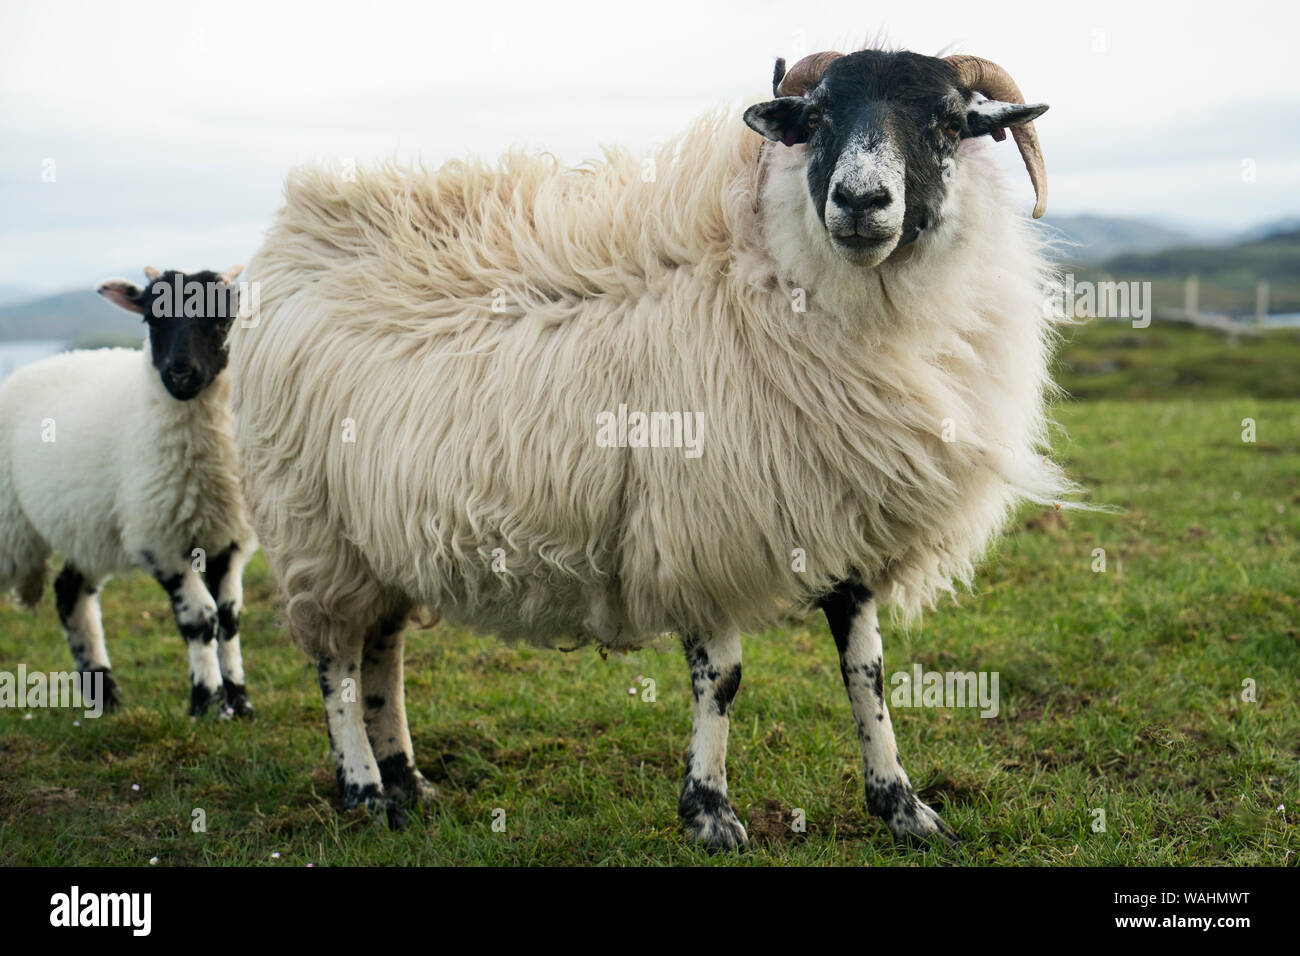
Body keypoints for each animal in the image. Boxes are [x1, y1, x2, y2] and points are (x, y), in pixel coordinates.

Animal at [0, 265, 258, 712]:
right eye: (152, 319)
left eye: (222, 318)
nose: (179, 373)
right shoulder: (158, 538)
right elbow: (200, 618)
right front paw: (206, 702)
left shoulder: (230, 537)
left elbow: (228, 617)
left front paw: (239, 702)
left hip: (88, 528)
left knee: (70, 594)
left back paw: (107, 697)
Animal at [231, 48, 1076, 848]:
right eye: (819, 117)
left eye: (947, 120)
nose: (860, 202)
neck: (771, 272)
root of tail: (290, 232)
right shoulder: (704, 524)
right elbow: (723, 680)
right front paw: (709, 814)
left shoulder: (847, 520)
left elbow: (865, 672)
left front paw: (904, 808)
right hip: (312, 530)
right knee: (337, 663)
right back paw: (364, 791)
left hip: (376, 536)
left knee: (382, 649)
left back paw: (408, 781)